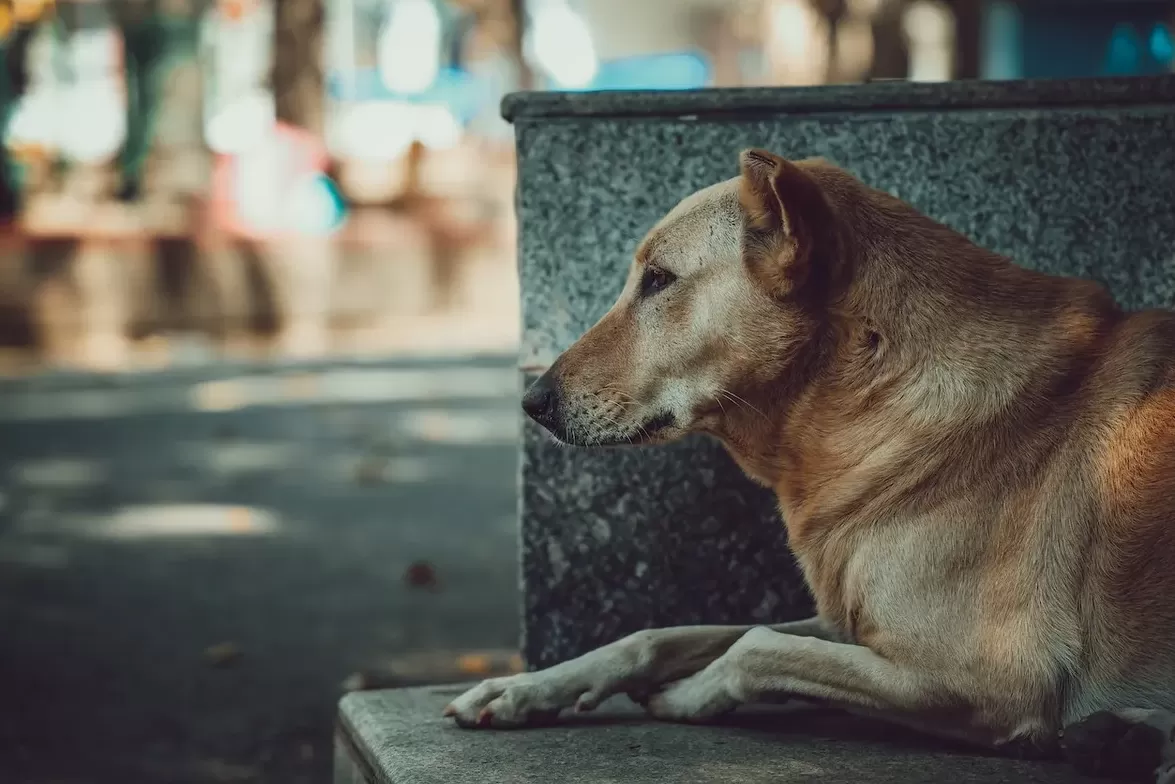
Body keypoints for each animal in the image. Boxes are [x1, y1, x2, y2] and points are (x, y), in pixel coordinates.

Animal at [441, 150, 1175, 780]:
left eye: (658, 280)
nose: (532, 401)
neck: (872, 400)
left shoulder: (994, 682)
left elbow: (754, 645)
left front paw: (689, 694)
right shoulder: (847, 621)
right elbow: (660, 633)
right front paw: (523, 689)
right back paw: (1122, 739)